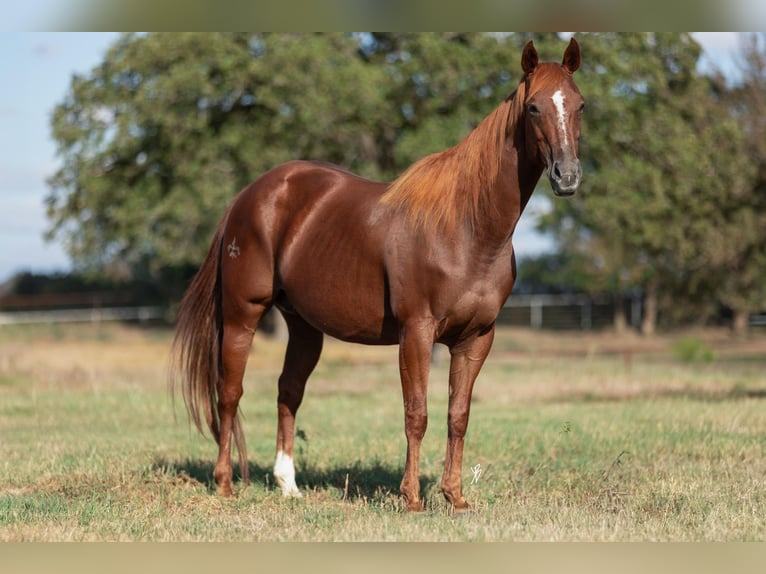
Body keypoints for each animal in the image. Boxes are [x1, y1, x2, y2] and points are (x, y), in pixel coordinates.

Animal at [172, 39, 584, 512]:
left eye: (580, 105)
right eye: (533, 107)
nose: (567, 176)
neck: (467, 227)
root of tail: (248, 196)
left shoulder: (477, 338)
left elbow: (458, 416)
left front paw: (455, 497)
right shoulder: (416, 332)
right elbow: (417, 413)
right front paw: (412, 498)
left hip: (304, 326)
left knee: (288, 391)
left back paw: (288, 485)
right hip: (243, 314)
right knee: (230, 393)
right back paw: (224, 483)